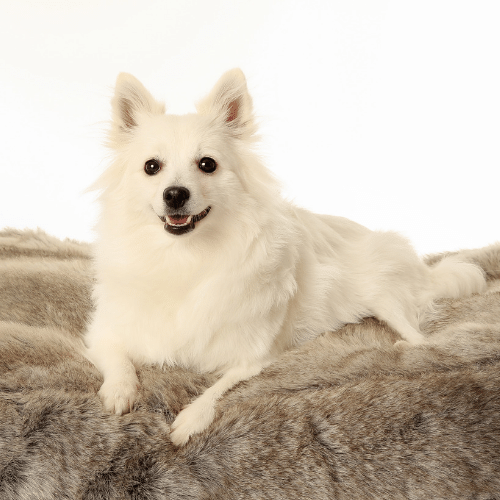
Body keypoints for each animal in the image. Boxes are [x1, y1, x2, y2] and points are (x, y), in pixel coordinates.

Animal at [84, 69, 486, 446]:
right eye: (152, 167)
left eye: (207, 165)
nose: (175, 194)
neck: (183, 257)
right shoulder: (105, 331)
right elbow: (117, 356)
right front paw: (120, 391)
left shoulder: (252, 357)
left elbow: (217, 388)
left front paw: (191, 419)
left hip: (385, 296)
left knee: (419, 336)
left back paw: (404, 342)